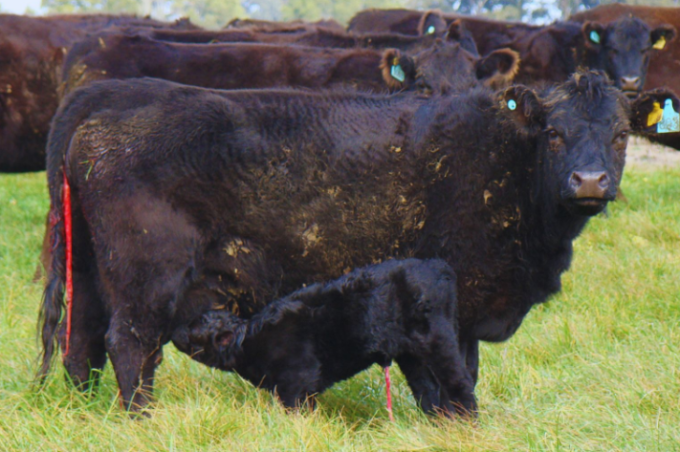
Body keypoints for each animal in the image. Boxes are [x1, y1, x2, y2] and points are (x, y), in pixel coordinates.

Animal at [173, 258, 476, 417]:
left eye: (192, 328)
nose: (174, 330)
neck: (248, 342)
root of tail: (439, 267)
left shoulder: (296, 379)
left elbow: (297, 408)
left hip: (437, 338)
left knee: (460, 382)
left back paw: (466, 422)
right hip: (412, 356)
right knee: (429, 390)